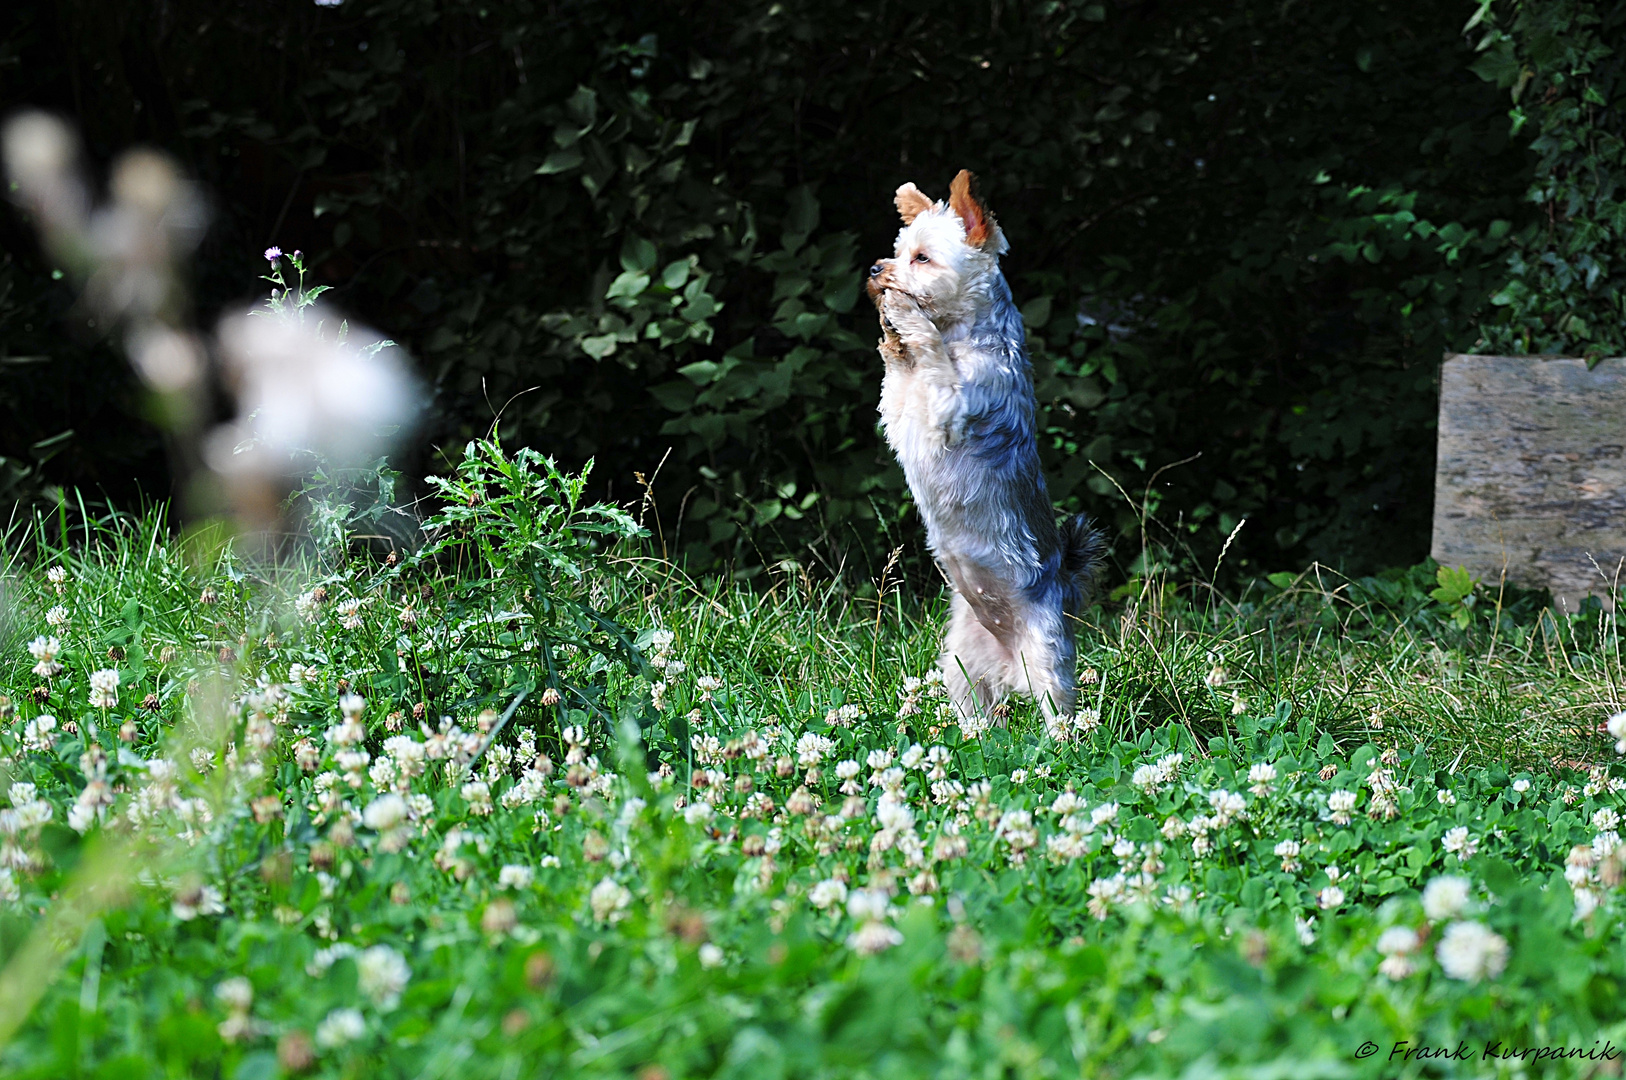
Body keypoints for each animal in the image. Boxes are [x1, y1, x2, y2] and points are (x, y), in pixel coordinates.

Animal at [865, 169, 1105, 722]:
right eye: (898, 250)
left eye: (922, 258)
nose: (876, 269)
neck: (961, 335)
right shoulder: (901, 409)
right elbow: (897, 375)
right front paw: (890, 331)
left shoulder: (948, 405)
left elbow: (928, 352)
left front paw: (903, 312)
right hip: (960, 662)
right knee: (972, 712)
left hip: (1046, 655)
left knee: (1058, 712)